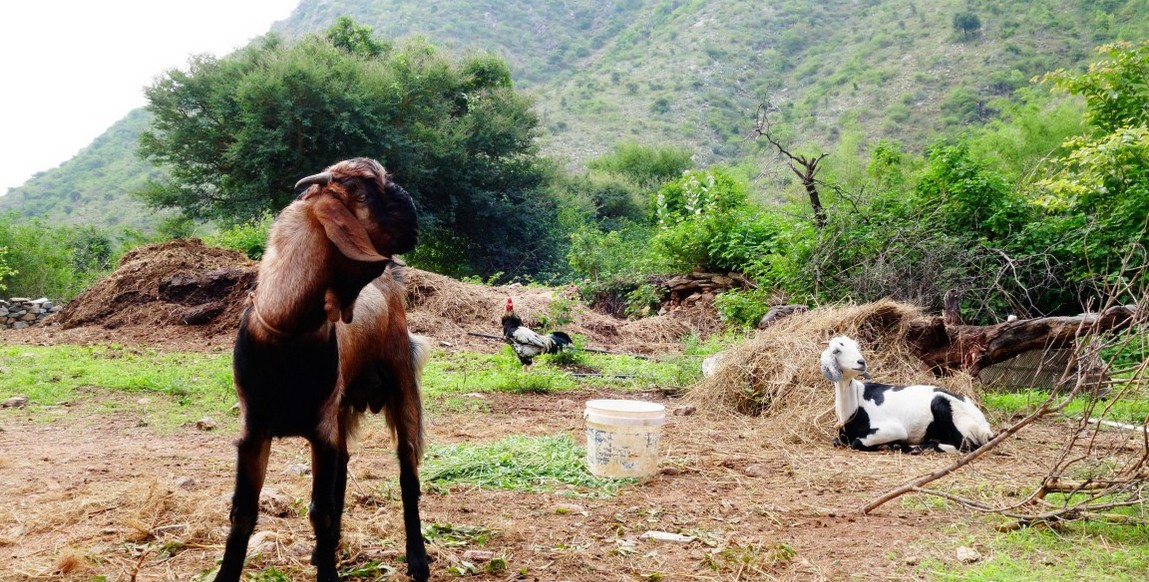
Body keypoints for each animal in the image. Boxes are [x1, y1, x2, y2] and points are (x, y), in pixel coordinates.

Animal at [214, 158, 432, 582]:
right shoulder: (255, 429)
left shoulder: (320, 429)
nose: (412, 207)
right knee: (344, 468)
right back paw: (323, 551)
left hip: (401, 382)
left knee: (407, 470)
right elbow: (243, 513)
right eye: (363, 194)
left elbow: (321, 511)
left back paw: (417, 560)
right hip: (342, 407)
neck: (288, 331)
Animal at [822, 335, 992, 452]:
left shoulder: (893, 429)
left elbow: (856, 442)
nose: (861, 362)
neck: (856, 405)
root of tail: (985, 427)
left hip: (946, 408)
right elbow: (836, 441)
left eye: (858, 347)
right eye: (836, 350)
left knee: (965, 445)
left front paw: (890, 444)